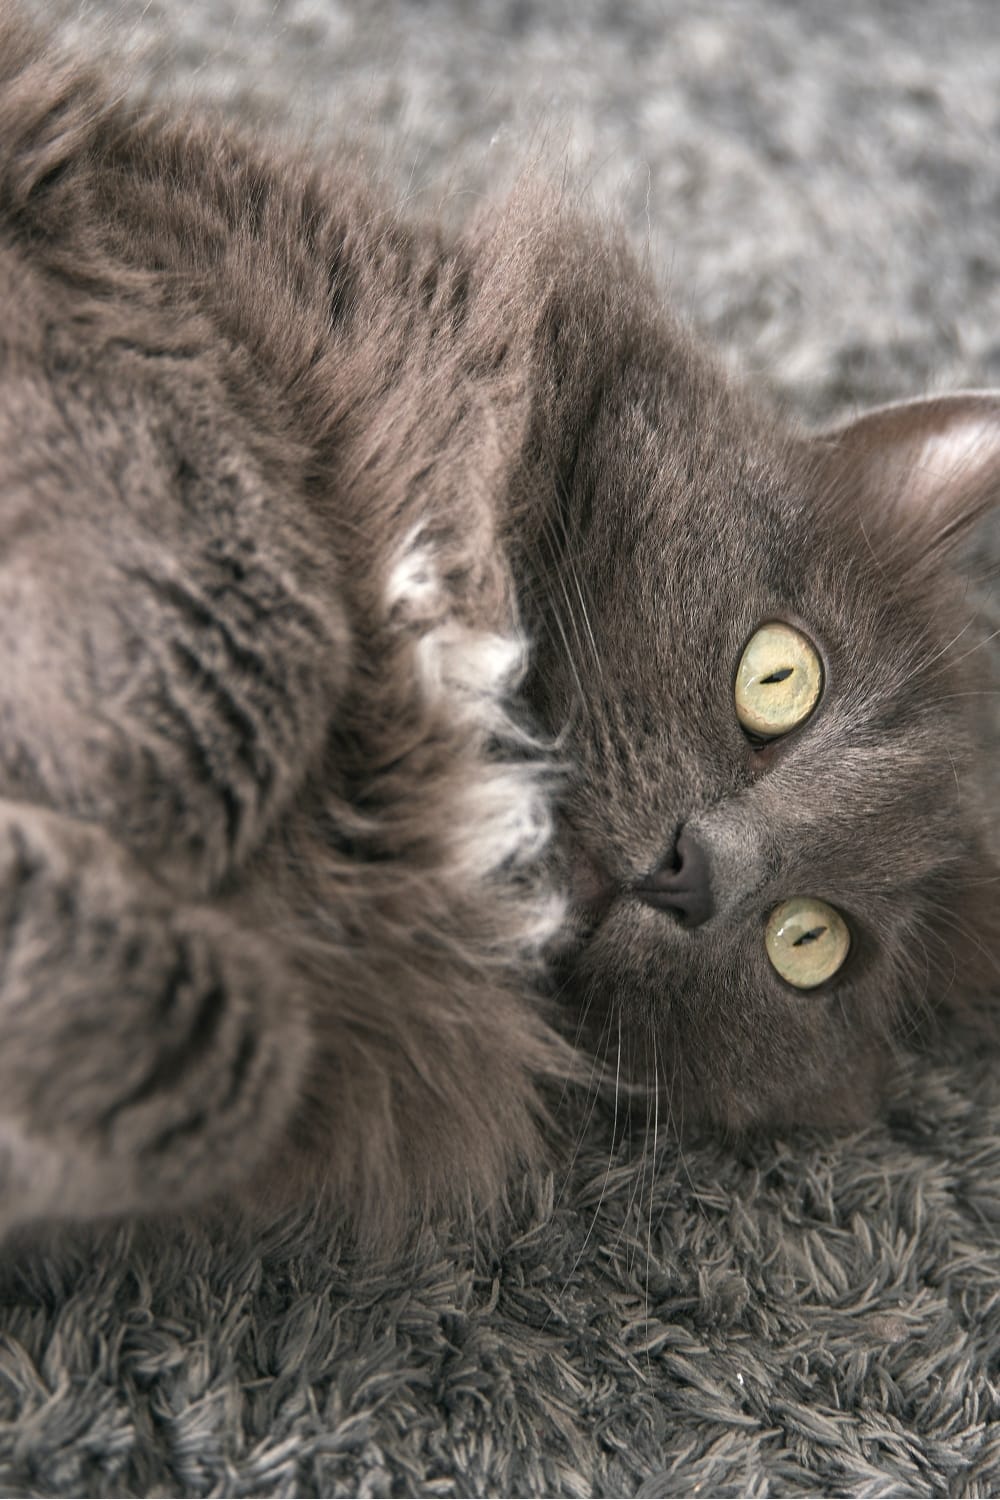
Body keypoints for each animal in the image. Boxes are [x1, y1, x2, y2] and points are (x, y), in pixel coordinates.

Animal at [0, 5, 995, 1248]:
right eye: (778, 678)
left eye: (808, 943)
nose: (695, 873)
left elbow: (232, 1061)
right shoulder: (128, 289)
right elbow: (250, 639)